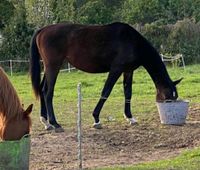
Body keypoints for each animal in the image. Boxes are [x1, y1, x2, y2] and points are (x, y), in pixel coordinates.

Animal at [29, 21, 181, 131]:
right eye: (168, 98)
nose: (171, 113)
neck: (132, 41)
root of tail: (43, 30)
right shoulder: (116, 70)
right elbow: (106, 92)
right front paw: (96, 119)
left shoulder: (128, 71)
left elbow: (128, 93)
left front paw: (130, 118)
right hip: (53, 66)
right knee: (48, 92)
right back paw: (55, 123)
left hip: (49, 67)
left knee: (42, 89)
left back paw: (46, 122)